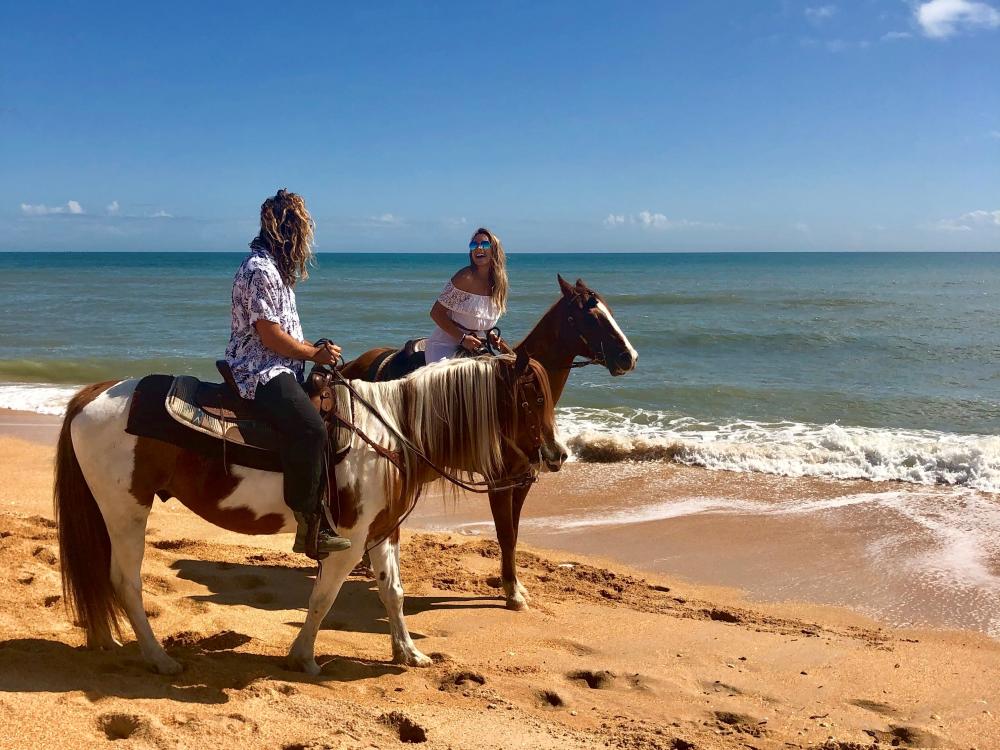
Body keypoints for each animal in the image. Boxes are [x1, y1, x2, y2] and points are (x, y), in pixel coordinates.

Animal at [54, 352, 568, 676]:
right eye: (534, 398)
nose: (558, 454)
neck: (395, 430)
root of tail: (93, 395)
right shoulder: (349, 539)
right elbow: (323, 598)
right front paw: (302, 657)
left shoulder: (383, 533)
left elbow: (394, 594)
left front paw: (408, 654)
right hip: (127, 512)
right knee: (125, 581)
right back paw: (158, 659)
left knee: (98, 572)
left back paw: (105, 640)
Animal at [340, 274, 636, 612]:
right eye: (592, 316)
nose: (629, 357)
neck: (509, 399)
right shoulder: (499, 481)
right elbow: (505, 534)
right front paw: (512, 592)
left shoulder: (522, 480)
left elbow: (514, 534)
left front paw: (514, 584)